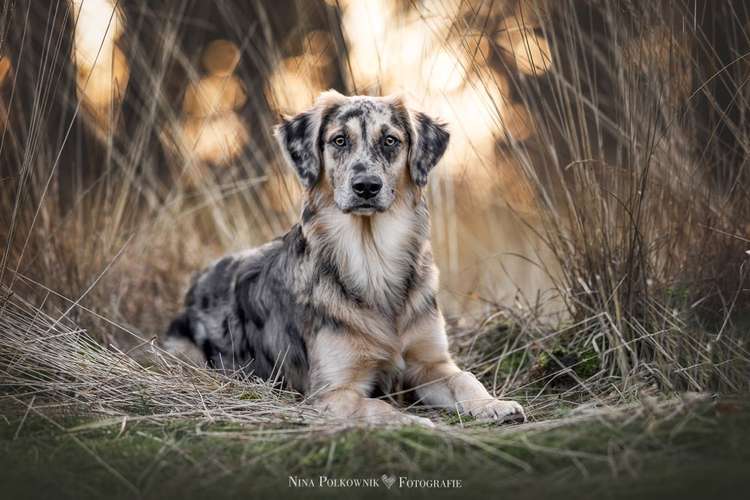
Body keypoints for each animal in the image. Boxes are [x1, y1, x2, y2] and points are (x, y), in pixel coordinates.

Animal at [167, 90, 524, 426]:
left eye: (390, 140)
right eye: (339, 140)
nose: (366, 186)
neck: (372, 259)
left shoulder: (431, 362)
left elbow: (465, 378)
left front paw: (493, 404)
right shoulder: (331, 392)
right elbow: (378, 406)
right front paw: (411, 421)